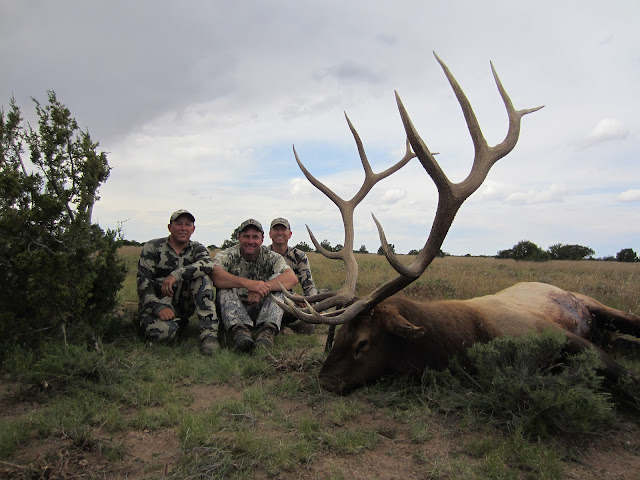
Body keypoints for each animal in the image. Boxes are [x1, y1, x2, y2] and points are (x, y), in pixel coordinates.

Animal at [273, 52, 640, 396]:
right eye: (336, 338)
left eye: (362, 342)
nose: (324, 381)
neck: (469, 338)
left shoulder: (558, 333)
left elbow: (627, 377)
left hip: (593, 304)